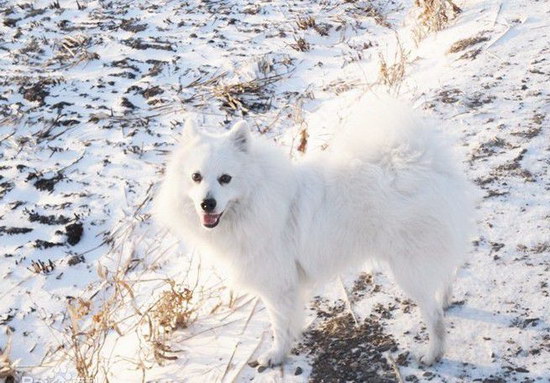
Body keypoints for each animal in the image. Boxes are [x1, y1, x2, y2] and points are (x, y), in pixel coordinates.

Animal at [153, 97, 476, 368]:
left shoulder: (278, 286)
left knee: (434, 317)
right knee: (446, 277)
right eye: (196, 177)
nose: (207, 203)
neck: (257, 199)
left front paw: (276, 355)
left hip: (408, 268)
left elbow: (280, 326)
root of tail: (424, 165)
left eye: (225, 179)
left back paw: (433, 353)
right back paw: (445, 299)